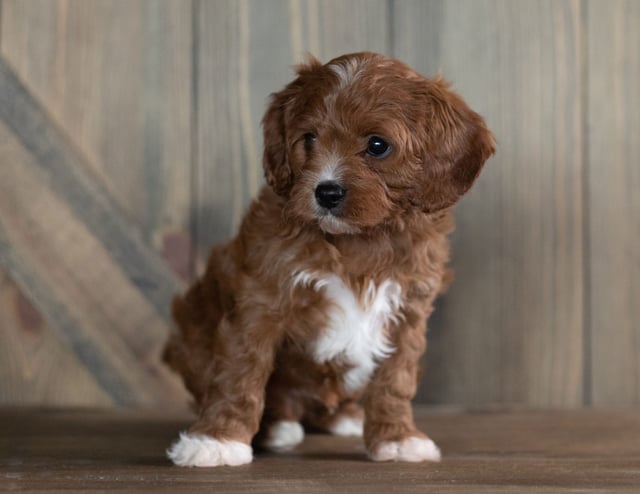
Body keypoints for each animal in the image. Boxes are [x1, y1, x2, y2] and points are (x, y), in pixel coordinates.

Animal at [164, 51, 496, 466]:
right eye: (309, 139)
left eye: (377, 145)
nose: (326, 192)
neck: (358, 240)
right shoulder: (260, 300)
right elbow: (241, 371)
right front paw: (217, 440)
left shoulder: (408, 309)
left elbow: (396, 379)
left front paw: (397, 437)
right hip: (192, 330)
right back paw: (275, 427)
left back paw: (345, 417)